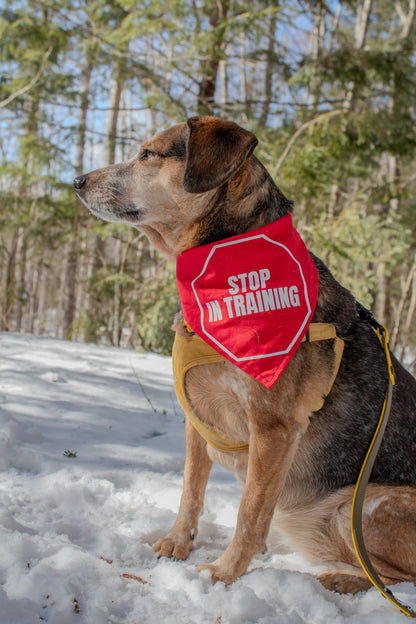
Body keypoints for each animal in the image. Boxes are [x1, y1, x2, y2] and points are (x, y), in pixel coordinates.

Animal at [75, 114, 416, 596]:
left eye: (148, 154)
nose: (76, 181)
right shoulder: (196, 417)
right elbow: (191, 489)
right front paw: (179, 541)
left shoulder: (272, 429)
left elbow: (250, 512)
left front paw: (224, 572)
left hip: (363, 505)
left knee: (395, 580)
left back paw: (340, 580)